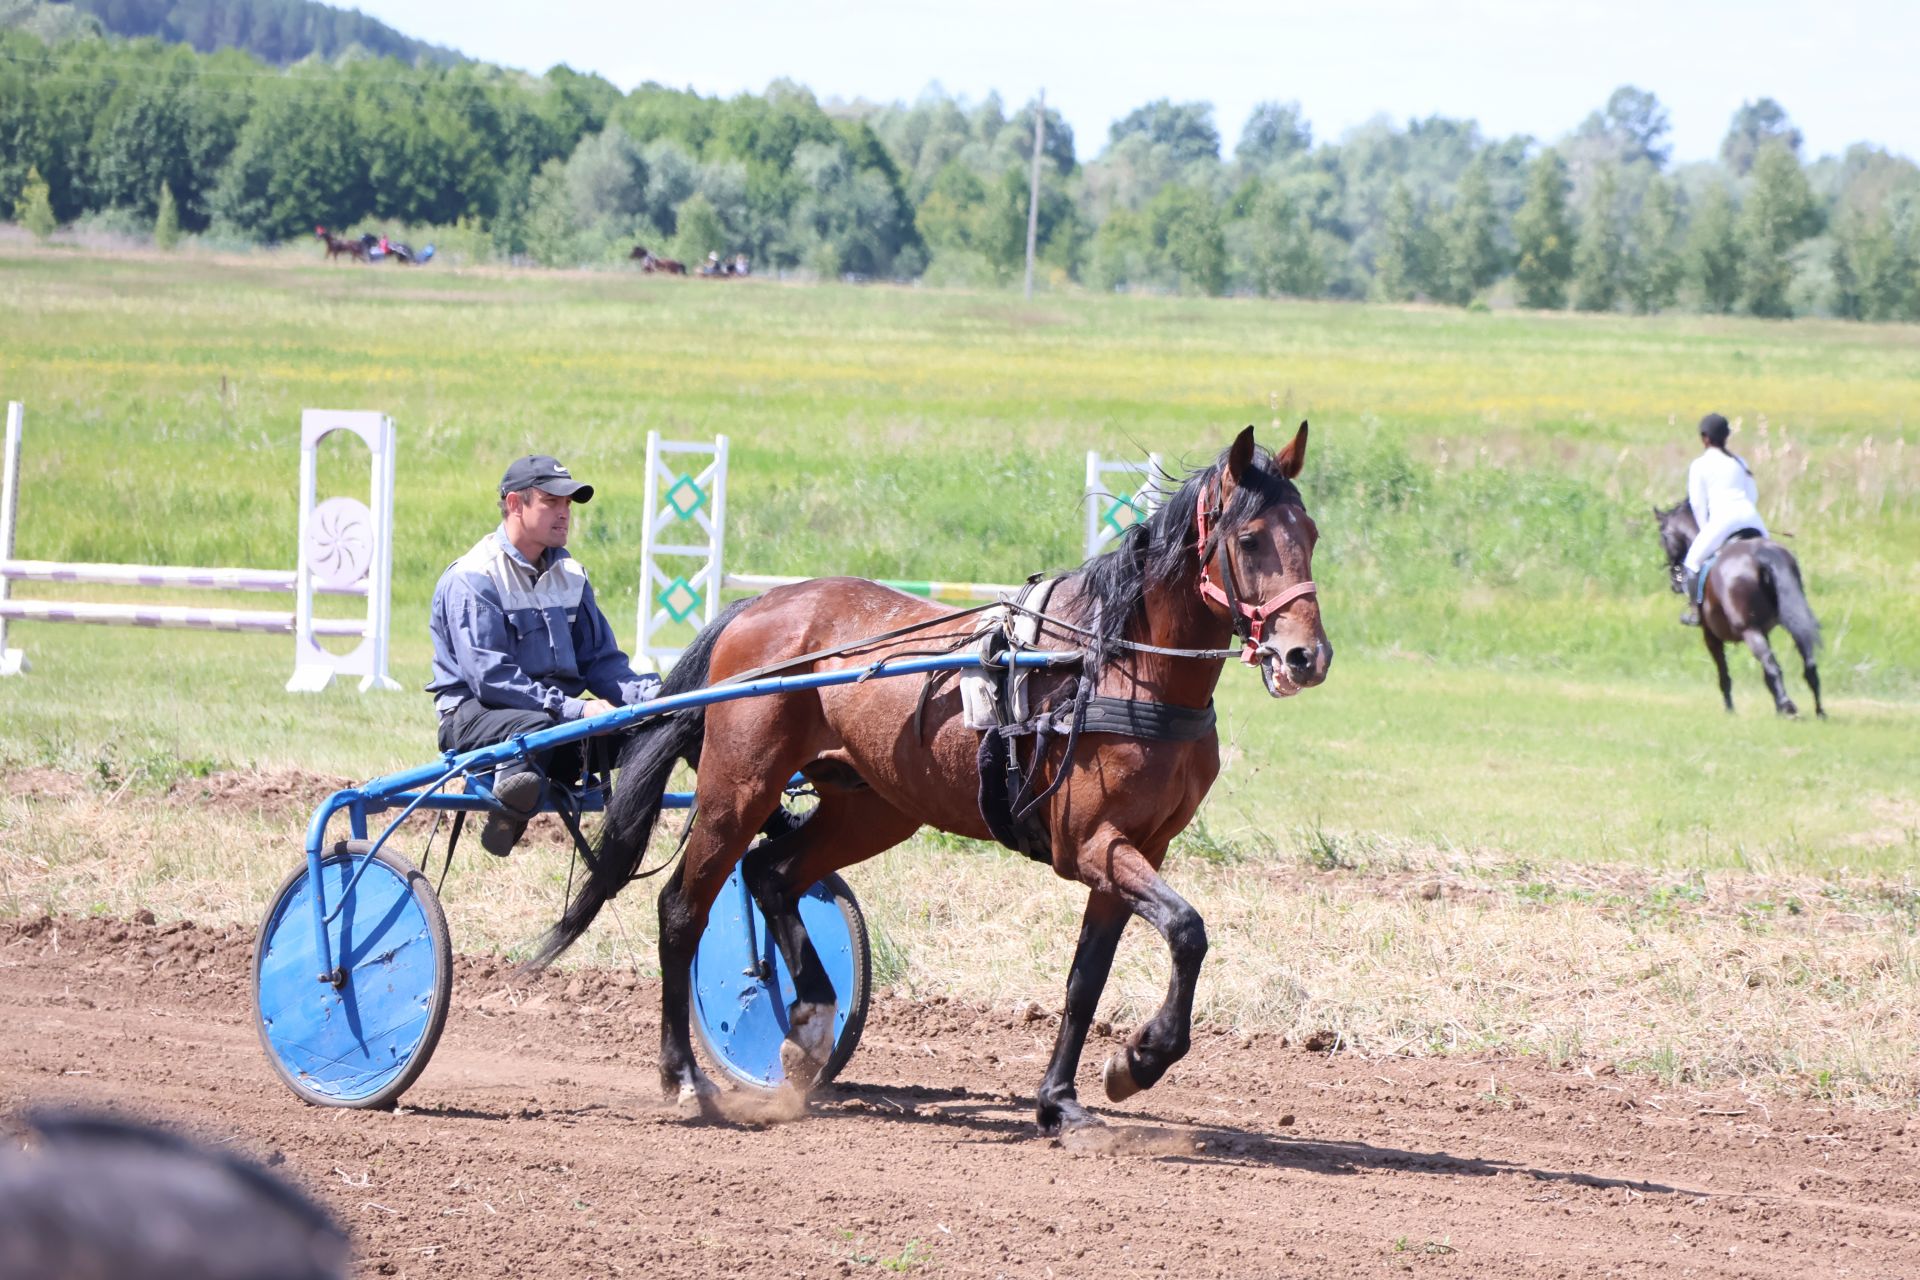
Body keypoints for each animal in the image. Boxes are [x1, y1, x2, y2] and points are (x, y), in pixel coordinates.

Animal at [533, 426, 1328, 1136]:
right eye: (1251, 538)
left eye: (1312, 534)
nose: (1306, 656)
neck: (1113, 666)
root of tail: (757, 609)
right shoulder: (1091, 844)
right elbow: (1188, 931)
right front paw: (1140, 1058)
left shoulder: (1139, 849)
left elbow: (1088, 978)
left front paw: (1062, 1101)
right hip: (738, 790)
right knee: (683, 909)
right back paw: (683, 1077)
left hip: (874, 807)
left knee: (771, 872)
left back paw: (810, 1020)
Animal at [1651, 502, 1827, 721]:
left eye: (1663, 536)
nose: (1674, 583)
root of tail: (1761, 554)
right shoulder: (1764, 630)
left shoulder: (1710, 635)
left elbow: (1724, 675)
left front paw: (1729, 709)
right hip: (1791, 620)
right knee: (1807, 661)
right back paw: (1818, 710)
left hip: (1748, 630)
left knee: (1771, 665)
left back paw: (1788, 707)